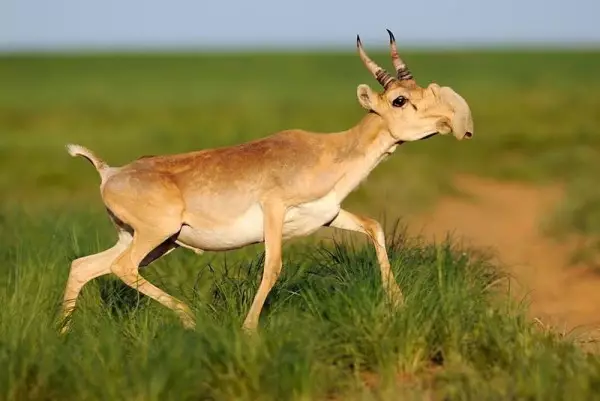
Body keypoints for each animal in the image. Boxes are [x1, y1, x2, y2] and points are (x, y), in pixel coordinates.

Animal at [61, 30, 474, 332]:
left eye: (421, 91)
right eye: (400, 100)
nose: (452, 122)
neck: (328, 150)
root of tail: (110, 173)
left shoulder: (328, 215)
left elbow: (374, 226)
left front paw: (398, 305)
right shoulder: (274, 211)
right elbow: (273, 265)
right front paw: (248, 331)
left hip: (151, 241)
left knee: (84, 266)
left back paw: (62, 336)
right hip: (156, 236)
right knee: (120, 268)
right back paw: (189, 318)